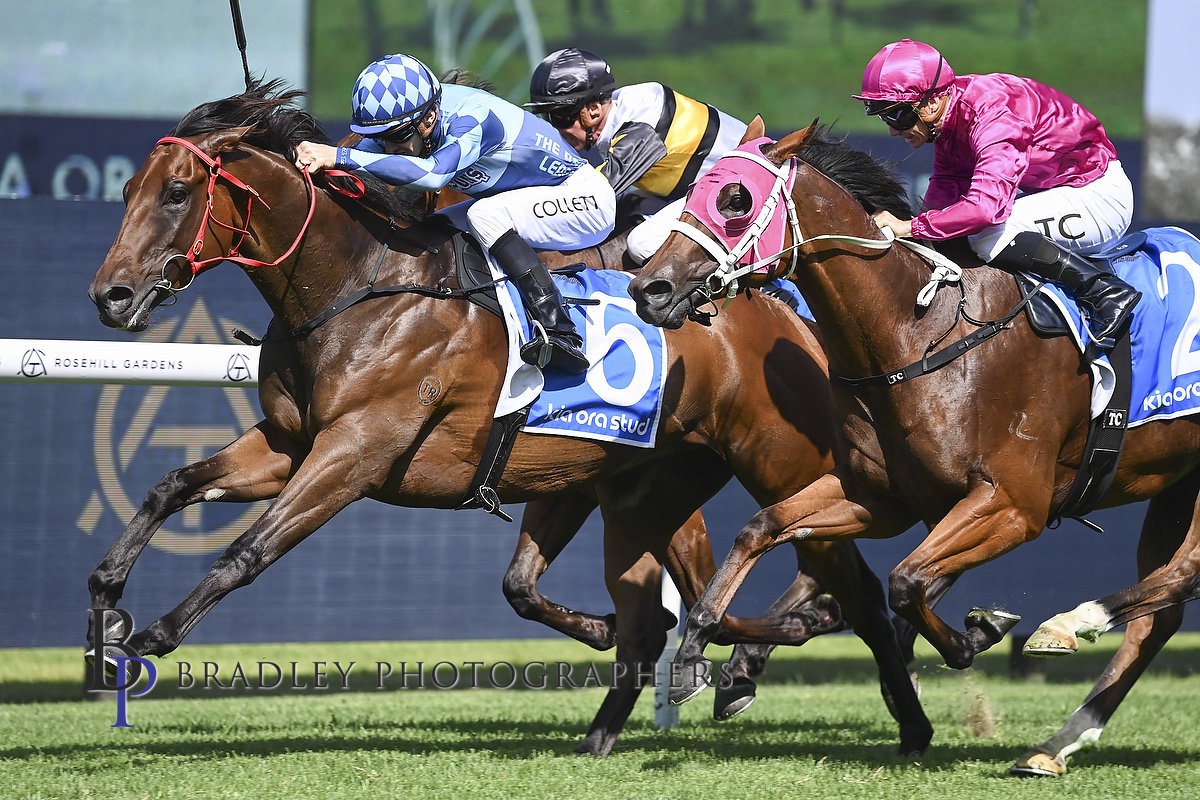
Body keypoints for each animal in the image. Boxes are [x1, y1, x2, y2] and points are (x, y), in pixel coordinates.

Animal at [87, 84, 926, 762]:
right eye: (128, 188)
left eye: (178, 192)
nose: (112, 296)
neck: (360, 287)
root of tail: (783, 310)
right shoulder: (289, 443)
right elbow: (172, 485)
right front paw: (106, 601)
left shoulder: (355, 452)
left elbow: (246, 551)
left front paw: (156, 633)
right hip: (640, 489)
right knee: (670, 609)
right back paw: (639, 706)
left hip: (780, 463)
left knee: (849, 586)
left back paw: (899, 713)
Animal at [628, 118, 1200, 777]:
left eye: (734, 200)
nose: (650, 288)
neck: (919, 334)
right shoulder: (877, 498)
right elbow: (762, 527)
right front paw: (694, 649)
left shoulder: (1014, 504)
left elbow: (907, 582)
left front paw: (979, 634)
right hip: (1174, 484)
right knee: (1163, 610)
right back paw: (1055, 744)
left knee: (1182, 574)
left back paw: (1067, 625)